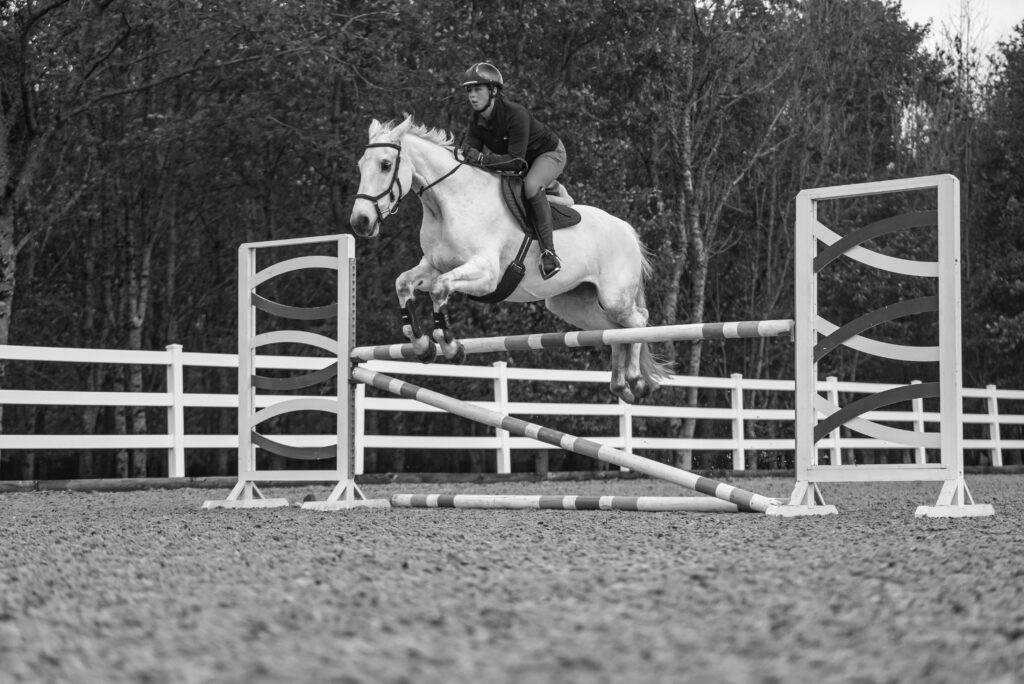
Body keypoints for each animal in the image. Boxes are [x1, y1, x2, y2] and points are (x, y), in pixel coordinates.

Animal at [348, 115, 669, 403]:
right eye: (361, 165)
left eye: (385, 164)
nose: (360, 222)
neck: (446, 203)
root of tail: (627, 229)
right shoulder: (434, 266)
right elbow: (403, 283)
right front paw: (420, 343)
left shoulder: (486, 274)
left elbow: (440, 289)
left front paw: (450, 347)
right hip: (573, 303)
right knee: (613, 331)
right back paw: (620, 385)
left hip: (615, 298)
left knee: (638, 321)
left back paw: (635, 380)